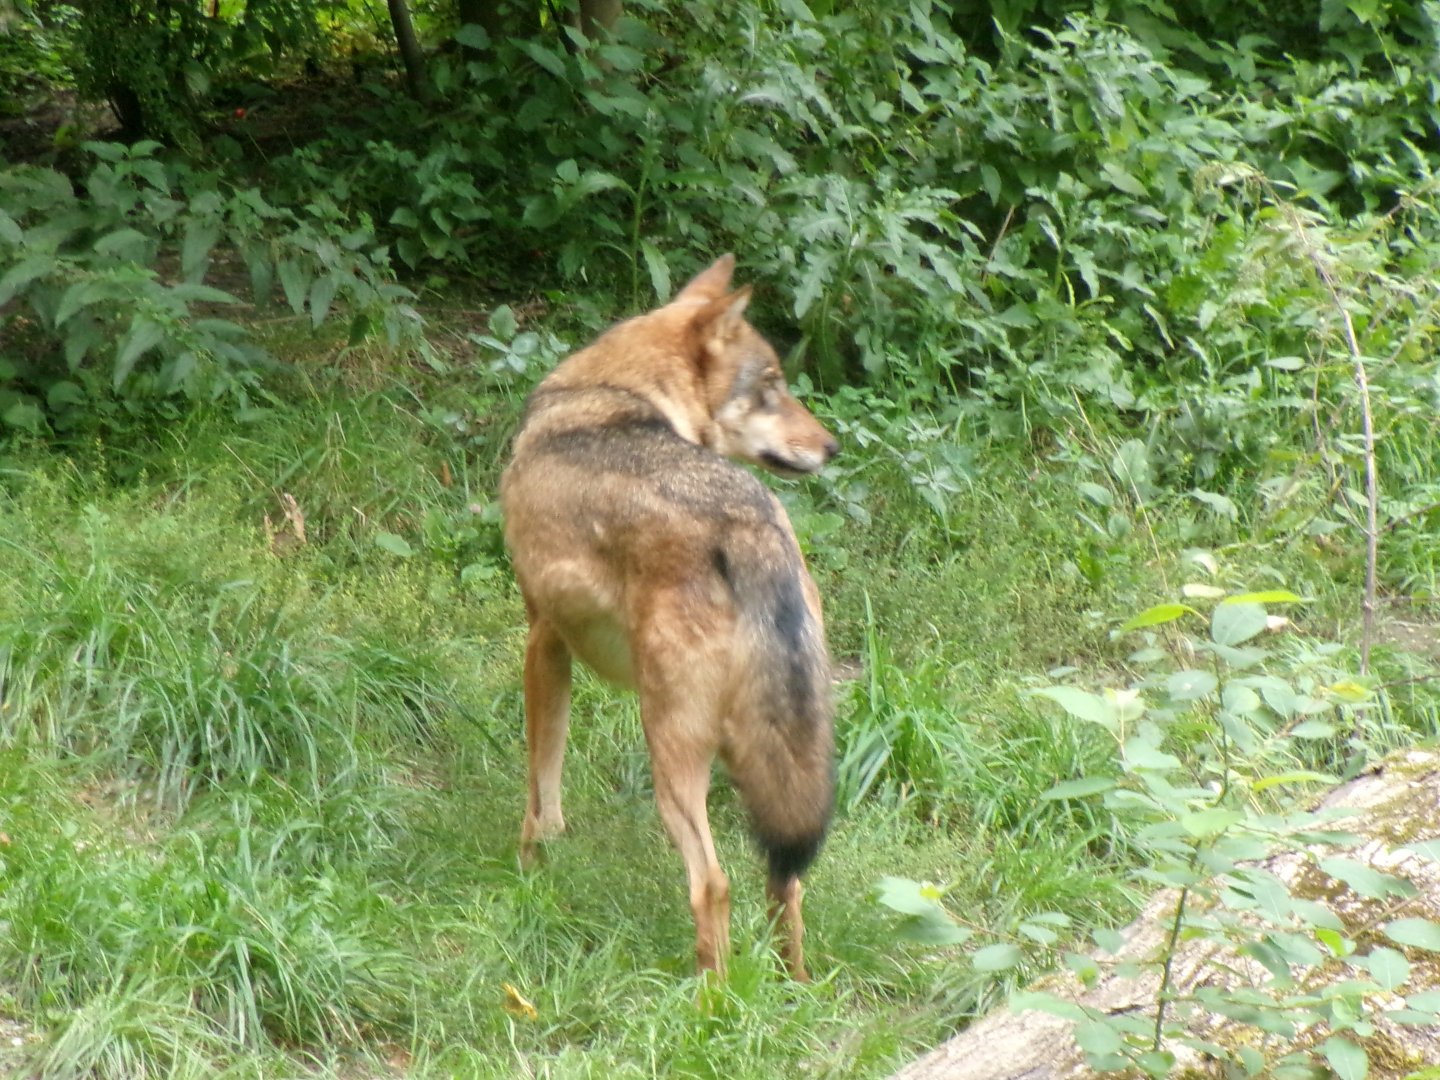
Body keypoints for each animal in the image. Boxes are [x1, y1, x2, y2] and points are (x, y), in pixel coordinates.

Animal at [498, 254, 838, 980]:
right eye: (771, 386)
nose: (833, 448)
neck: (613, 391)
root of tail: (755, 531)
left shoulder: (543, 640)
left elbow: (541, 786)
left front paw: (530, 869)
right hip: (767, 762)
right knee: (787, 878)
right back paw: (795, 988)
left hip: (670, 750)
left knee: (712, 883)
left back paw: (711, 993)